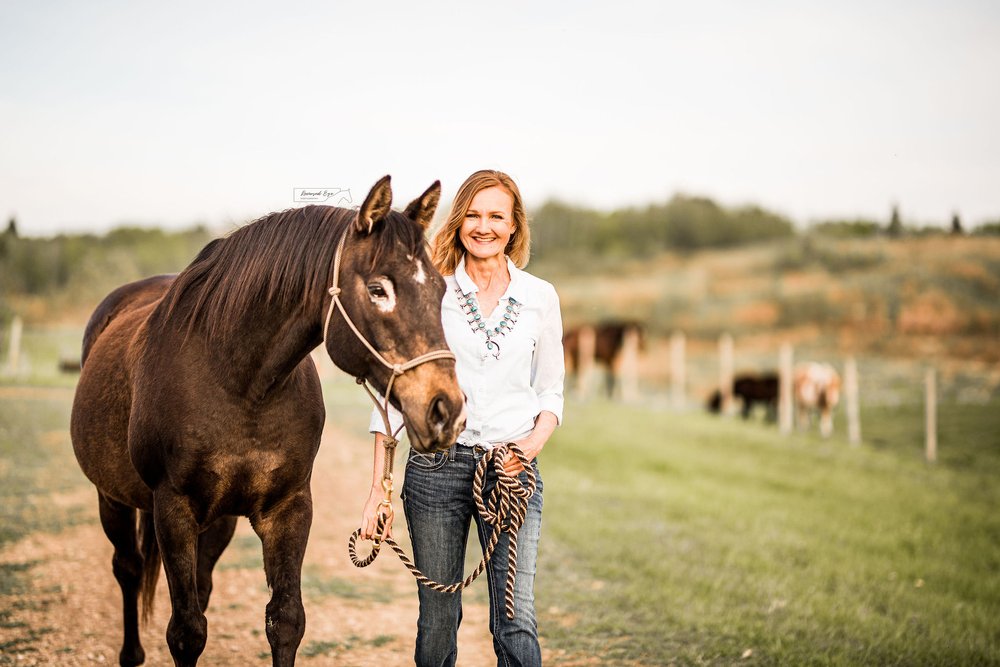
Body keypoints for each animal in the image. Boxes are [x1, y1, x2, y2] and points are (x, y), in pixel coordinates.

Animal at [68, 177, 466, 667]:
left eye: (441, 290)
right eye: (378, 290)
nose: (445, 409)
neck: (239, 383)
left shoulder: (287, 508)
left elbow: (285, 620)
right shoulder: (172, 509)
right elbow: (185, 632)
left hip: (218, 520)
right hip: (113, 499)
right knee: (127, 569)